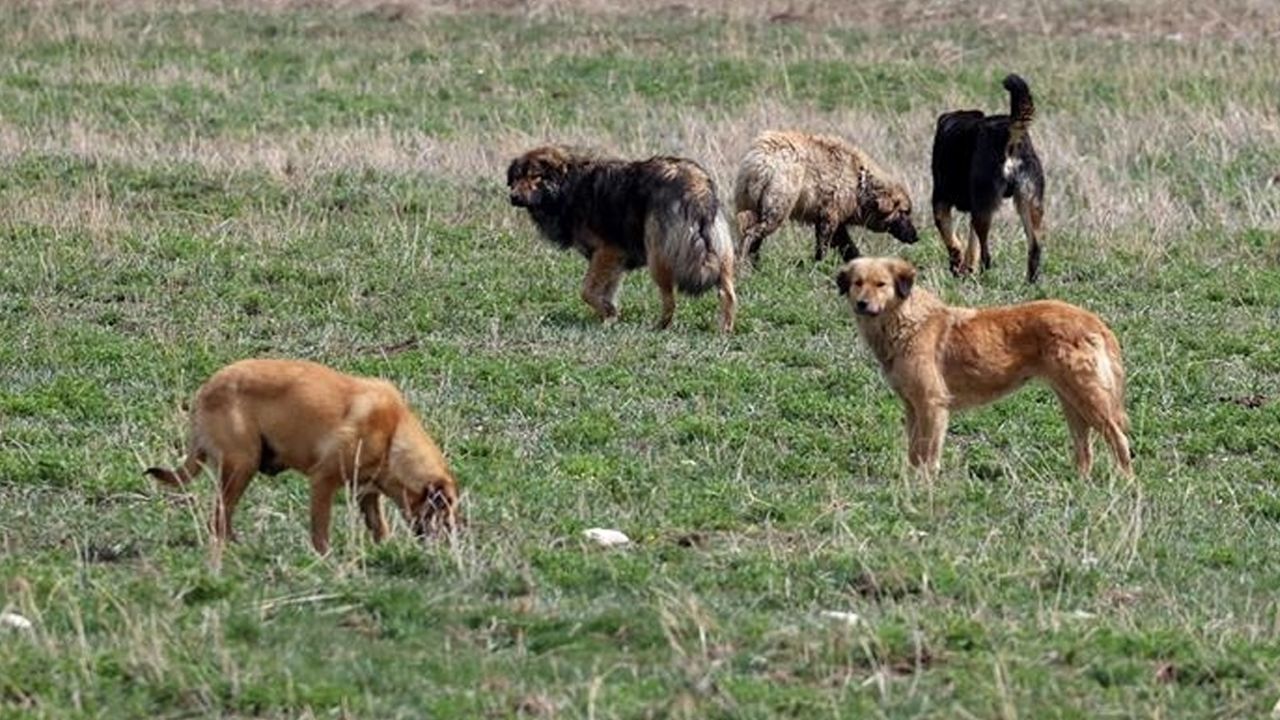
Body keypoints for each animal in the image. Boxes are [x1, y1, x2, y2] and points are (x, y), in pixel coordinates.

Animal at [147, 358, 458, 556]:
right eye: (445, 511)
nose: (455, 540)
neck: (394, 435)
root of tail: (204, 392)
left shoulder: (366, 493)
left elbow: (379, 527)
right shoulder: (323, 481)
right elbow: (320, 530)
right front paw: (325, 559)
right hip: (242, 465)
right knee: (219, 519)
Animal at [504, 146, 737, 330]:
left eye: (535, 177)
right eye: (516, 178)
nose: (513, 197)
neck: (569, 186)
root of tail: (696, 186)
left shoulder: (608, 251)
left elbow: (586, 291)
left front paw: (609, 313)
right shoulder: (614, 261)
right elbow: (605, 292)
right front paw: (608, 318)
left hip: (658, 258)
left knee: (670, 299)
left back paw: (660, 326)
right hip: (721, 255)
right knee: (727, 293)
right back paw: (724, 330)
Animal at [732, 129, 921, 263]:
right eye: (905, 212)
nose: (916, 237)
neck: (859, 184)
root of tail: (760, 160)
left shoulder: (835, 218)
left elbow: (848, 247)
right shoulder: (829, 215)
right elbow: (823, 246)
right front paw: (818, 265)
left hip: (750, 204)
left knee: (753, 236)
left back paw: (754, 264)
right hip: (778, 207)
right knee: (751, 233)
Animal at [839, 254, 1131, 474]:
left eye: (881, 284)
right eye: (857, 283)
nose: (861, 304)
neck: (906, 321)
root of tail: (1093, 321)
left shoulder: (932, 404)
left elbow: (928, 455)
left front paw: (925, 488)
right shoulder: (912, 406)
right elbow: (914, 453)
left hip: (1088, 399)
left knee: (1120, 440)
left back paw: (1124, 484)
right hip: (1072, 402)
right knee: (1085, 451)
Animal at [936, 73, 1044, 280]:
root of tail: (1010, 133)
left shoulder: (940, 200)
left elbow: (951, 239)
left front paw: (957, 264)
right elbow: (971, 246)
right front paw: (966, 268)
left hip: (984, 208)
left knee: (987, 254)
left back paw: (985, 276)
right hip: (1029, 204)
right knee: (1034, 248)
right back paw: (1029, 282)